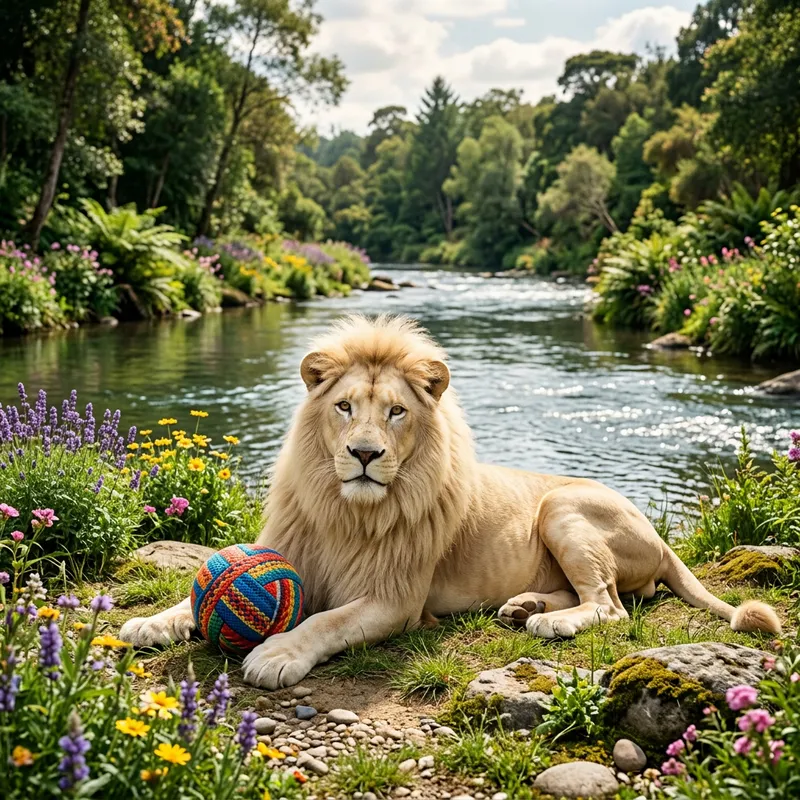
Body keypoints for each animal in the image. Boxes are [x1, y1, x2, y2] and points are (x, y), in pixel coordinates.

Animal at [120, 314, 781, 688]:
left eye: (396, 412)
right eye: (344, 407)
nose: (364, 454)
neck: (346, 511)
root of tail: (662, 538)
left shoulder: (395, 599)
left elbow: (325, 621)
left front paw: (276, 653)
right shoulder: (296, 555)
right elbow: (192, 599)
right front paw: (151, 622)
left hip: (562, 507)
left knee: (612, 605)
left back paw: (547, 619)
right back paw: (522, 606)